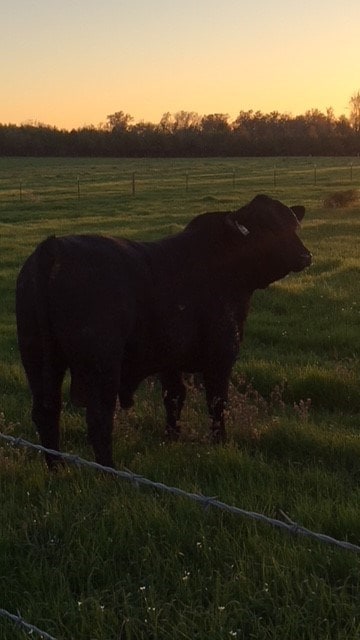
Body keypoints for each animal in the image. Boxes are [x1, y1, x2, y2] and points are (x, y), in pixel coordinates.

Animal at [15, 192, 310, 468]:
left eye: (293, 225)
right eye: (267, 226)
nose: (306, 256)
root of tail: (54, 246)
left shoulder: (170, 359)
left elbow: (174, 397)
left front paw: (172, 438)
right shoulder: (221, 355)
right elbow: (217, 403)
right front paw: (220, 442)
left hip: (37, 359)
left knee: (46, 411)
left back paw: (57, 466)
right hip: (103, 366)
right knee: (99, 418)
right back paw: (109, 472)